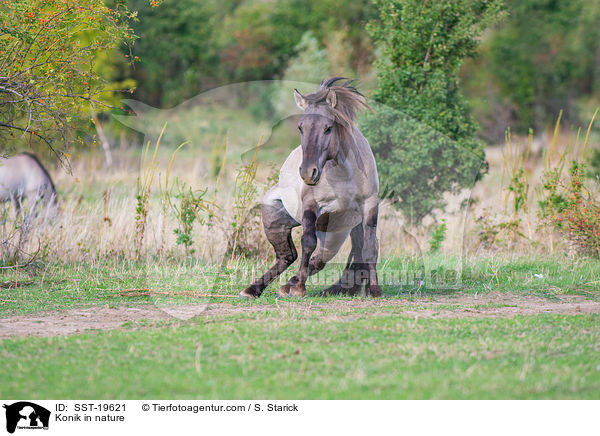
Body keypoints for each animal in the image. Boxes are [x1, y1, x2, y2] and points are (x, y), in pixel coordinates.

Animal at [241, 76, 382, 298]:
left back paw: (285, 285)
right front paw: (299, 288)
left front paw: (375, 289)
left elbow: (369, 247)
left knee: (318, 258)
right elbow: (308, 243)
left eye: (328, 128)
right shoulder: (311, 205)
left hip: (335, 234)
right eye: (301, 127)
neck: (344, 175)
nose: (309, 173)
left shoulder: (369, 204)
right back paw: (257, 288)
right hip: (275, 221)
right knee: (288, 256)